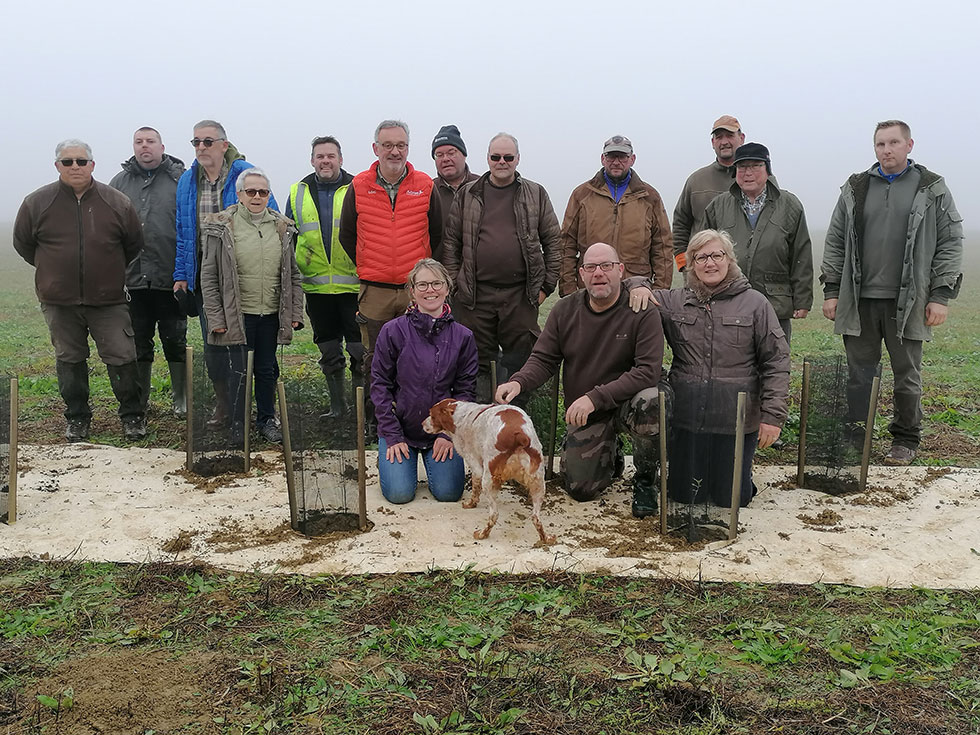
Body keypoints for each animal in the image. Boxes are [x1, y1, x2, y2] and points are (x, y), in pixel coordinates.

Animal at [424, 396, 556, 548]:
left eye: (432, 415)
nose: (422, 424)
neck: (460, 415)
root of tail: (519, 435)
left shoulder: (475, 466)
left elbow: (475, 490)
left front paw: (470, 504)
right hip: (538, 483)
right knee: (536, 518)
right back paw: (546, 539)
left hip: (488, 481)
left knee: (494, 515)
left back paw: (482, 534)